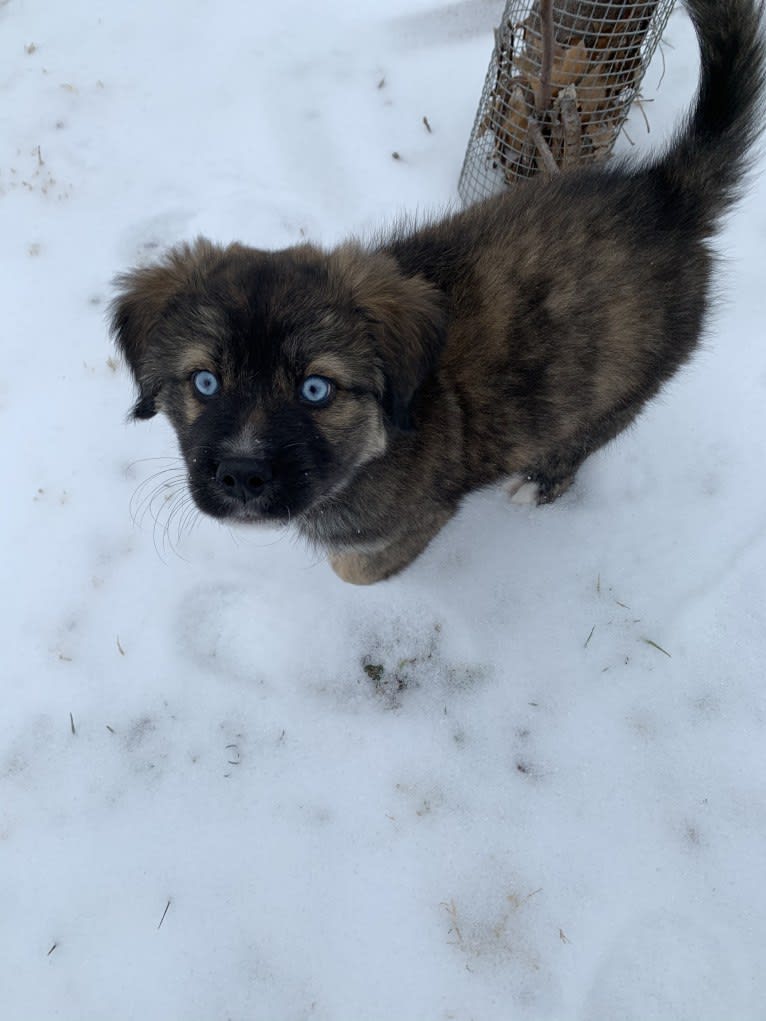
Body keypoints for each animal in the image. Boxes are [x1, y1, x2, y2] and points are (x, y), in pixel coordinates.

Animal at [110, 0, 763, 588]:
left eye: (316, 390)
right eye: (204, 382)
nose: (242, 476)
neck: (374, 444)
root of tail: (665, 194)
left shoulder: (421, 516)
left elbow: (355, 568)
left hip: (623, 384)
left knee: (591, 431)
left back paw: (540, 481)